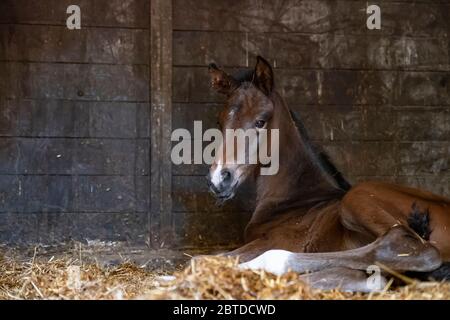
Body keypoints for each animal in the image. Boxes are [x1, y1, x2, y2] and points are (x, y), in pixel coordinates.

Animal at [207, 56, 450, 292]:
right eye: (220, 122)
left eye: (260, 121)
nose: (219, 178)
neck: (294, 200)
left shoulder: (269, 241)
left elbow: (209, 258)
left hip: (359, 195)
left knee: (411, 247)